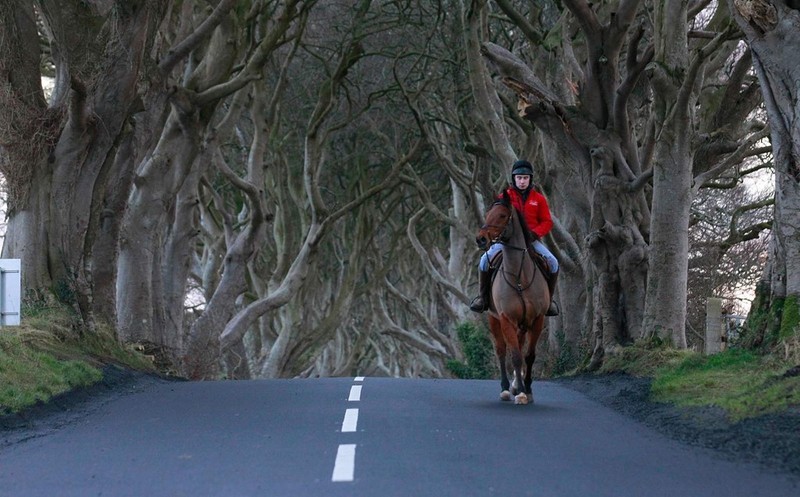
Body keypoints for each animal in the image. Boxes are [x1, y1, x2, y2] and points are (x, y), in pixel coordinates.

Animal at [476, 190, 552, 404]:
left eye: (502, 215)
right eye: (488, 214)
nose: (481, 239)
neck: (520, 277)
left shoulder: (537, 319)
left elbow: (529, 355)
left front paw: (527, 390)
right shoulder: (506, 319)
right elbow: (515, 356)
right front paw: (520, 393)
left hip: (523, 324)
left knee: (517, 345)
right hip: (494, 319)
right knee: (502, 351)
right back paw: (505, 388)